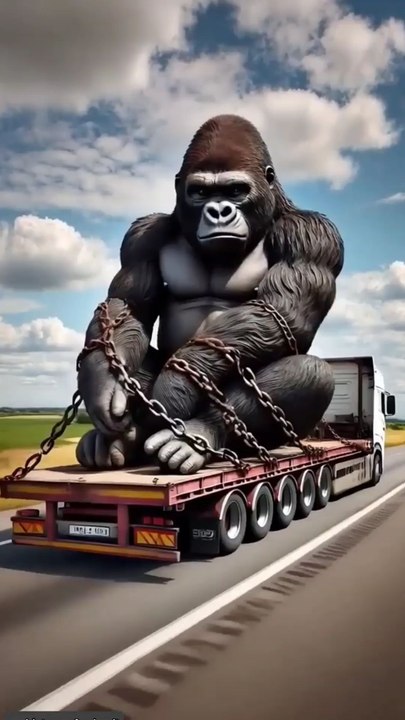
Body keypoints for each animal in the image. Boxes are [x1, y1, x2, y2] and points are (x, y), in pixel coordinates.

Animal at [76, 114, 343, 474]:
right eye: (200, 192)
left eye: (235, 190)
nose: (218, 211)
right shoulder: (141, 235)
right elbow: (128, 307)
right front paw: (101, 380)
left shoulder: (313, 233)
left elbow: (281, 313)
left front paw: (174, 388)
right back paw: (120, 441)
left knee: (314, 373)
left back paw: (197, 435)